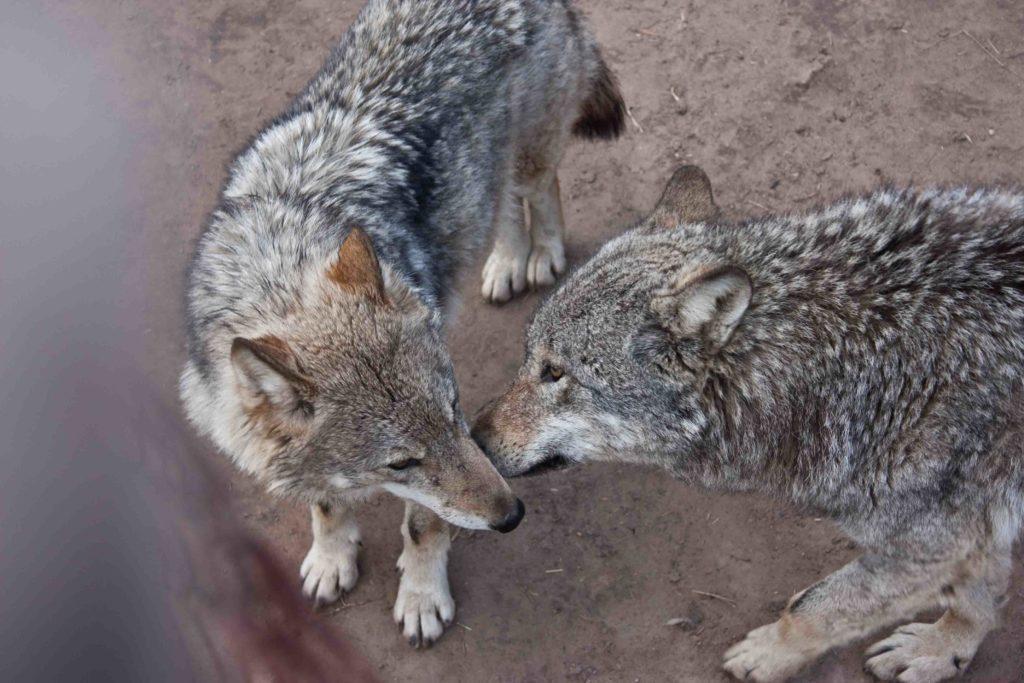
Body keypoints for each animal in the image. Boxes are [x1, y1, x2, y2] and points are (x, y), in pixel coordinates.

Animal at [180, 0, 624, 647]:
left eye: (456, 410)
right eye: (400, 463)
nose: (513, 515)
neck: (281, 268)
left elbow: (423, 524)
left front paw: (421, 597)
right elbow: (327, 504)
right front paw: (332, 556)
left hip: (525, 157)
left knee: (541, 189)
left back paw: (541, 255)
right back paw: (507, 263)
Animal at [473, 166, 1024, 680]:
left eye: (555, 372)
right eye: (530, 357)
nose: (474, 437)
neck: (852, 360)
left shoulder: (928, 544)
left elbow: (813, 608)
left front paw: (767, 656)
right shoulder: (972, 533)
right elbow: (977, 597)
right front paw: (944, 650)